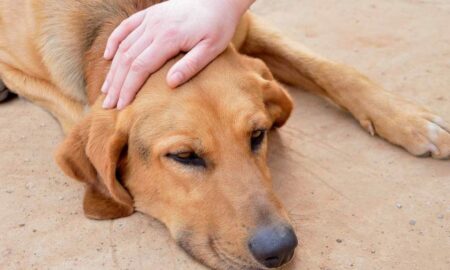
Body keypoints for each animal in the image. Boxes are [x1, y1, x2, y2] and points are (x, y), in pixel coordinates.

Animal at [0, 0, 450, 270]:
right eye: (184, 156)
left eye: (258, 134)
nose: (280, 249)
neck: (125, 15)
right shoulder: (19, 67)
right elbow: (76, 111)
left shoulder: (235, 27)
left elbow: (331, 68)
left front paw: (412, 120)